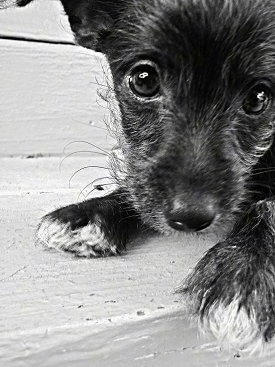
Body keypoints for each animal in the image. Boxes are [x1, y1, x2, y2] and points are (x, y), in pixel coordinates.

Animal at [3, 0, 275, 356]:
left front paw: (244, 273)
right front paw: (90, 213)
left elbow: (269, 206)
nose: (190, 217)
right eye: (143, 80)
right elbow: (136, 185)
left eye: (259, 98)